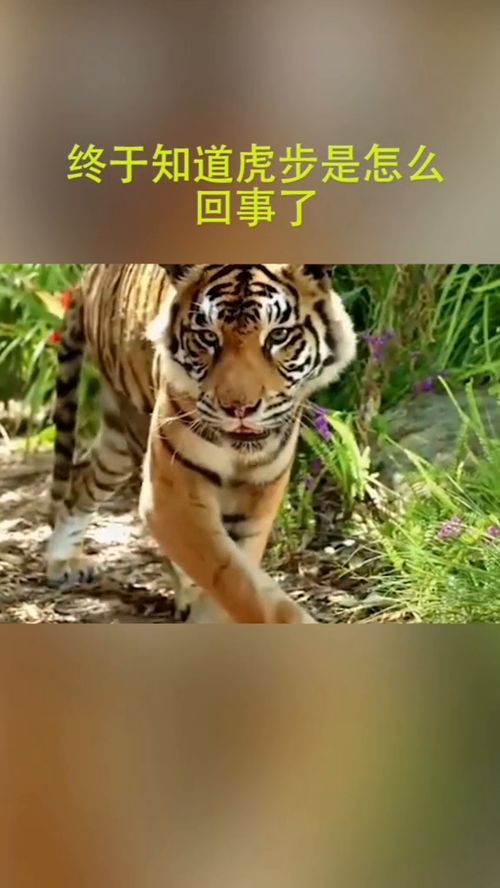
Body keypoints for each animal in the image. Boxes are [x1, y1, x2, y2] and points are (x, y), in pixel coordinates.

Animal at [45, 264, 357, 624]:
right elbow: (234, 578)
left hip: (117, 442)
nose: (239, 408)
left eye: (278, 336)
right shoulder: (171, 492)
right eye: (208, 337)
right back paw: (61, 561)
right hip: (133, 432)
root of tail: (87, 277)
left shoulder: (261, 492)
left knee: (83, 473)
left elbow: (242, 568)